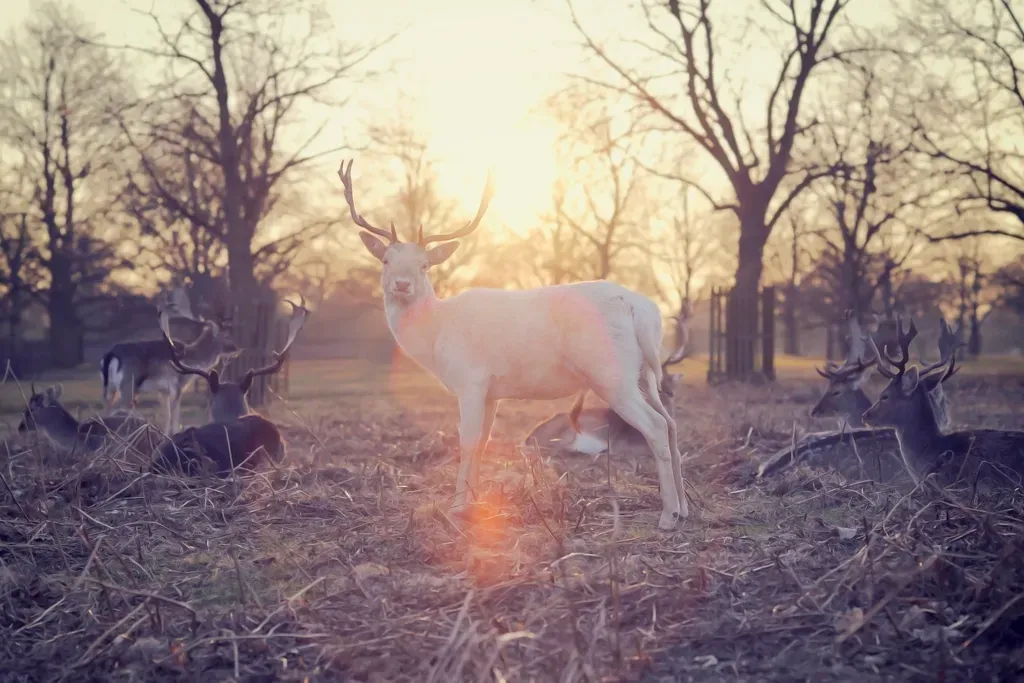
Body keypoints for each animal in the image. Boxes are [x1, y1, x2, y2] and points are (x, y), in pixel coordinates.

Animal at [99, 287, 239, 436]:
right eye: (226, 335)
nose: (237, 348)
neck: (192, 359)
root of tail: (110, 355)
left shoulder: (163, 391)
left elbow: (166, 417)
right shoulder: (177, 387)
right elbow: (174, 417)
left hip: (109, 388)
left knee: (105, 410)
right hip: (127, 387)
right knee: (113, 409)